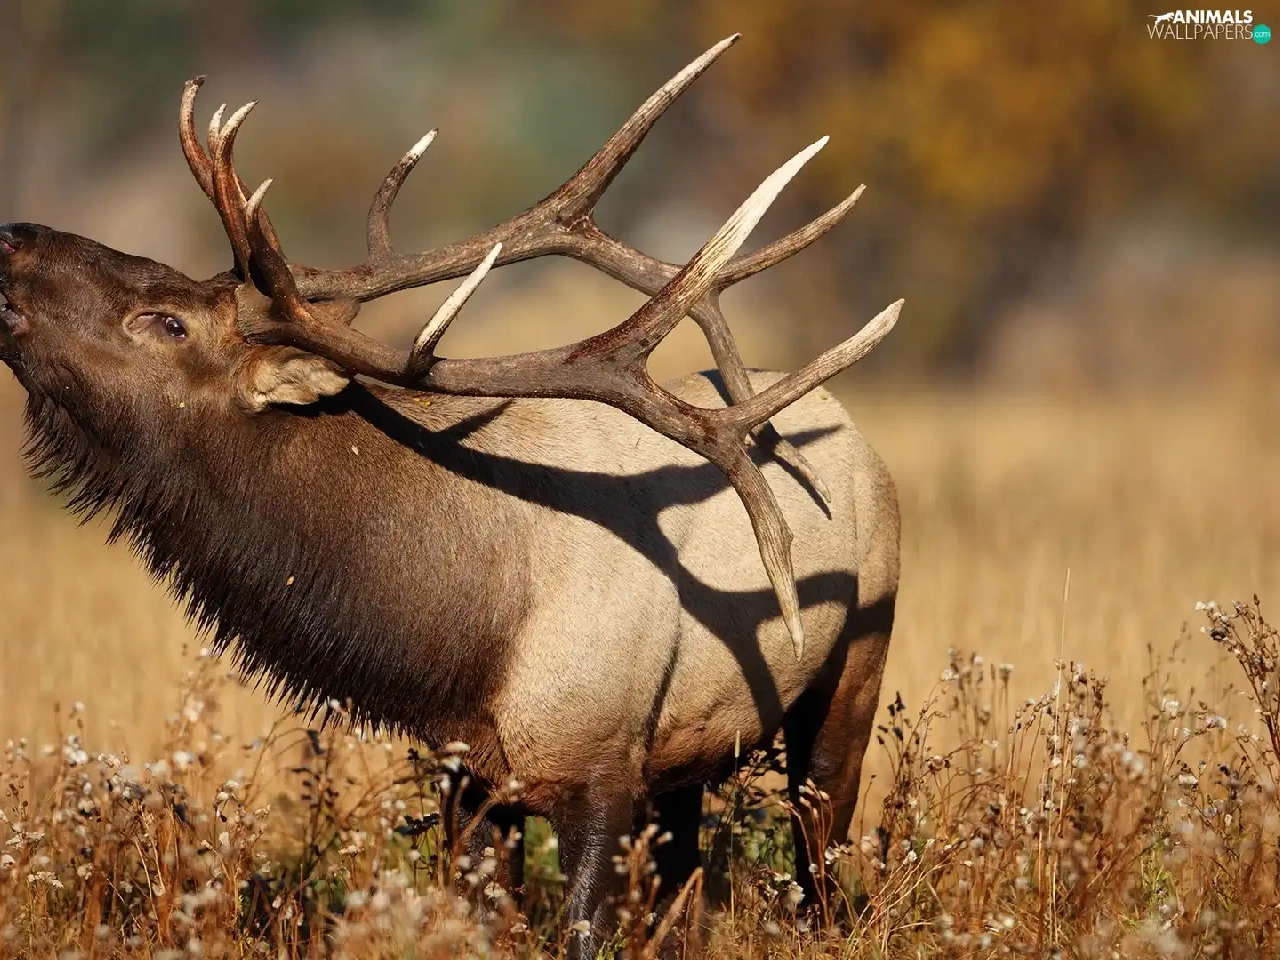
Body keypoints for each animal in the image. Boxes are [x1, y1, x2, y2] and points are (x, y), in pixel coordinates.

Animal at [0, 35, 900, 957]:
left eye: (167, 321)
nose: (13, 235)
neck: (466, 640)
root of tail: (857, 437)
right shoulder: (469, 774)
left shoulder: (604, 764)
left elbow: (583, 929)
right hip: (689, 758)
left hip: (855, 666)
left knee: (821, 845)